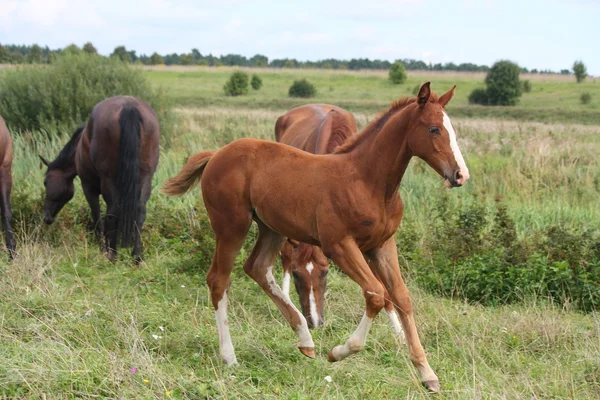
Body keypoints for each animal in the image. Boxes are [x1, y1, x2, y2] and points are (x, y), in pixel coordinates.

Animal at [40, 95, 161, 260]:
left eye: (46, 182)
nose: (46, 217)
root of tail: (129, 106)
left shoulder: (88, 187)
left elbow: (97, 219)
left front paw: (103, 248)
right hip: (146, 178)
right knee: (140, 212)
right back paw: (137, 256)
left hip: (108, 180)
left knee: (111, 214)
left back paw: (112, 255)